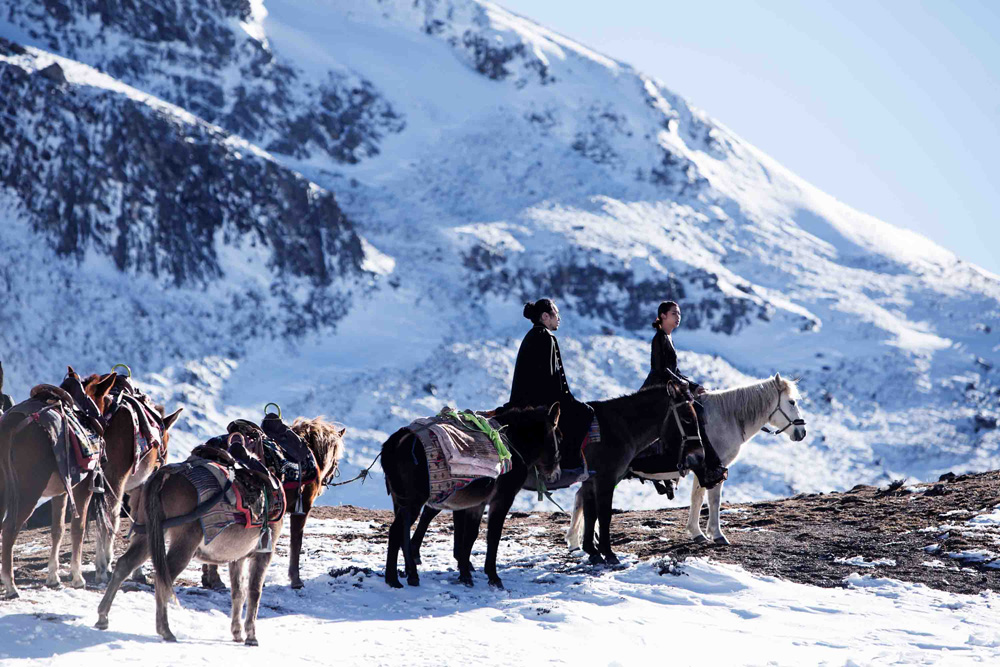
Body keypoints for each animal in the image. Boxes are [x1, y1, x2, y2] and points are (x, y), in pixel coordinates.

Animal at [0, 370, 180, 600]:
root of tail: (11, 425)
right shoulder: (104, 485)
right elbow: (88, 525)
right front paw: (88, 574)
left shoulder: (64, 489)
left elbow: (59, 529)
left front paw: (54, 577)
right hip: (30, 490)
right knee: (10, 528)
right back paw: (11, 585)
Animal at [378, 402, 564, 588]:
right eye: (560, 438)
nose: (556, 475)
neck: (514, 445)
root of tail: (397, 441)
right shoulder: (502, 500)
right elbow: (493, 536)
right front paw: (493, 577)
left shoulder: (477, 504)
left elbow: (470, 536)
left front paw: (465, 574)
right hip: (413, 502)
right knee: (396, 532)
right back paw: (392, 579)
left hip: (400, 501)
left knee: (403, 533)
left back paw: (411, 574)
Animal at [628, 374, 808, 544]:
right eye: (791, 402)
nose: (802, 432)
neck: (725, 419)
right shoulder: (716, 468)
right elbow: (714, 500)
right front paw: (717, 534)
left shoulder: (703, 471)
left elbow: (697, 498)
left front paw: (697, 533)